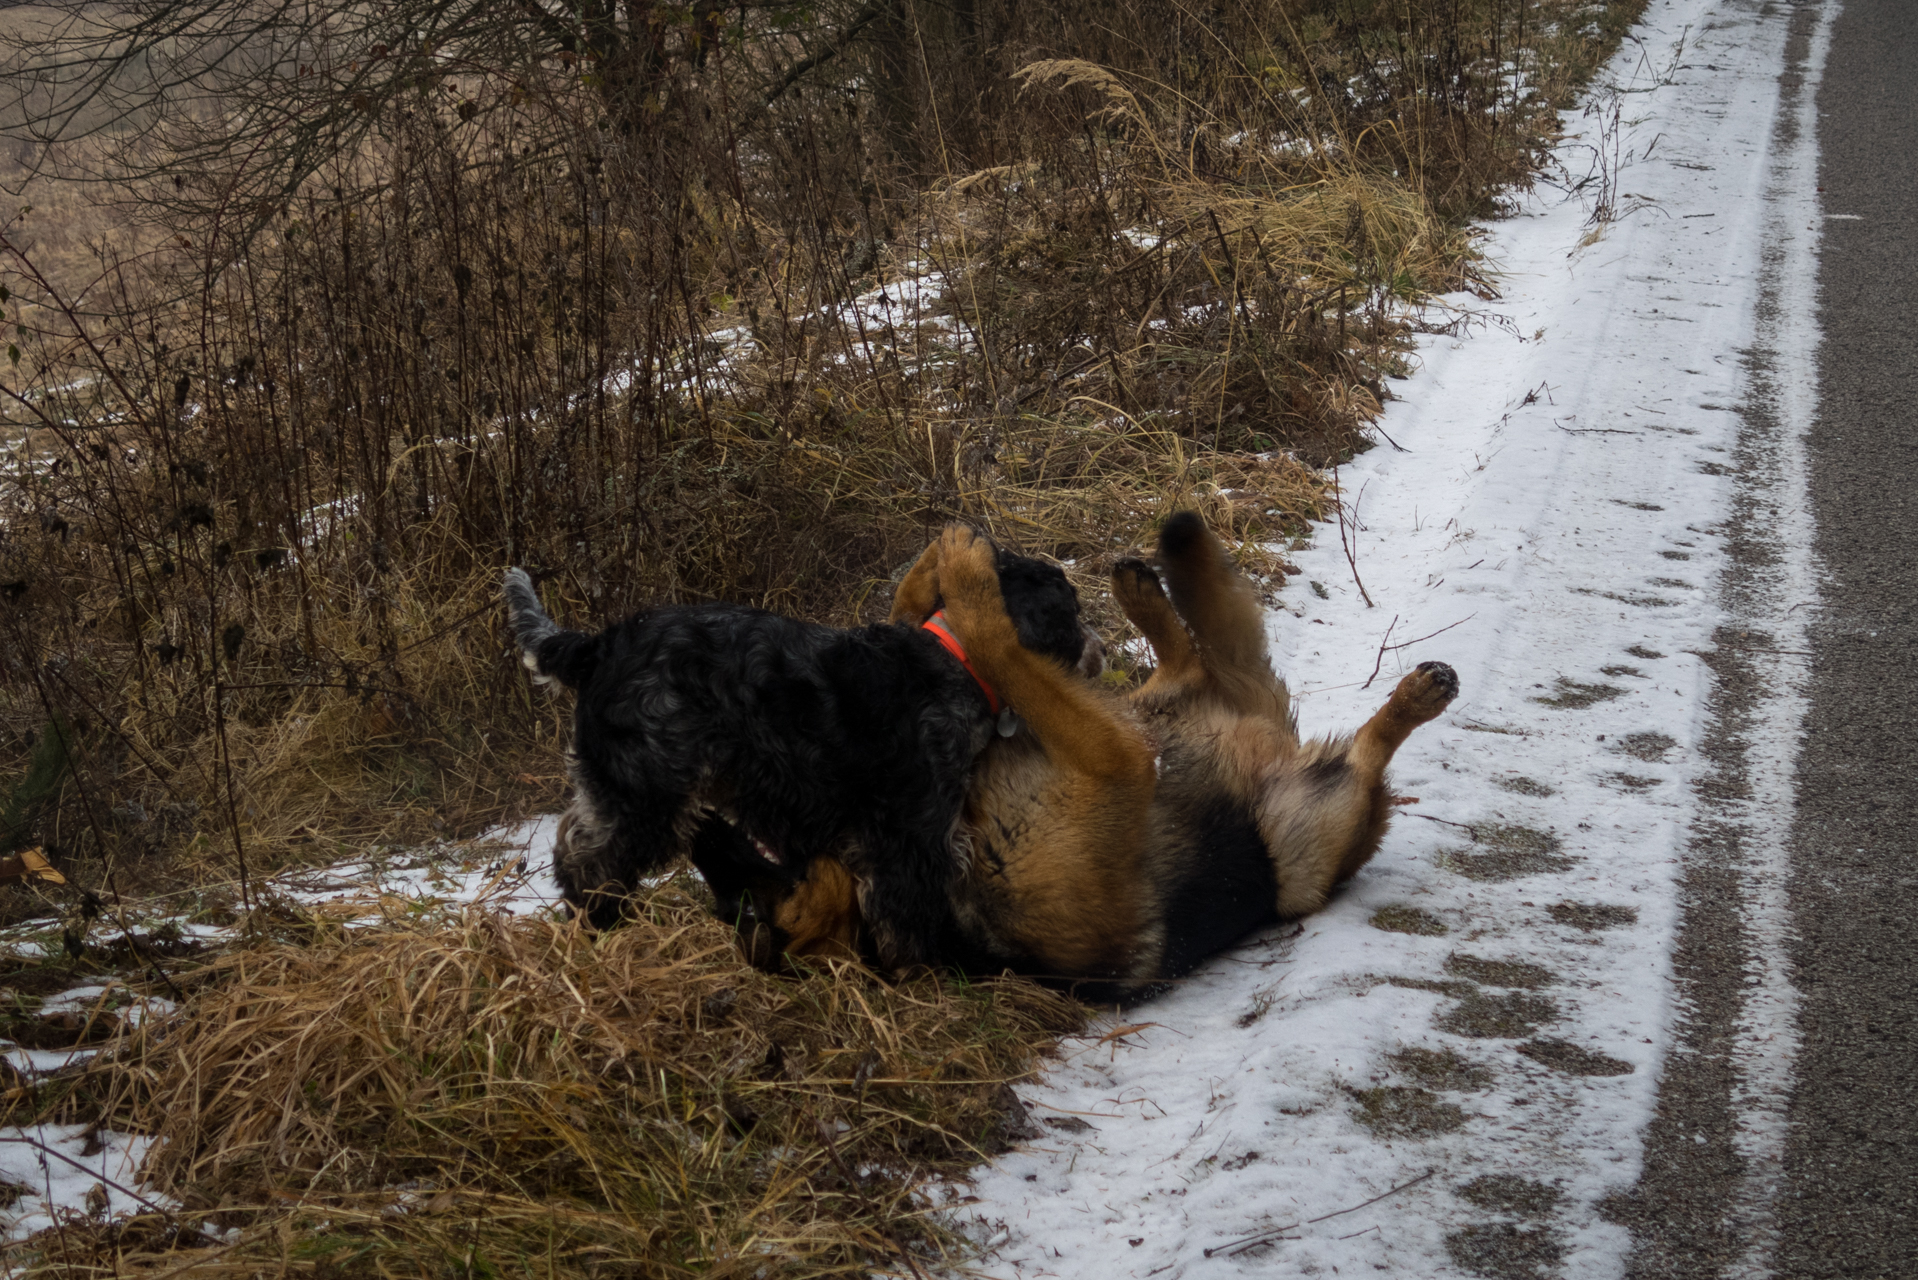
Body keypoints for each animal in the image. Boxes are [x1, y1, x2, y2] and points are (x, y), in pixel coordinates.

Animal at [502, 552, 1097, 971]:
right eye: (1072, 610)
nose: (1099, 649)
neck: (955, 663)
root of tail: (596, 646)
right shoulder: (910, 839)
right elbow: (908, 920)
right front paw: (924, 976)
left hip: (616, 788)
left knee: (575, 844)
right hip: (644, 793)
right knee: (590, 863)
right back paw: (601, 923)